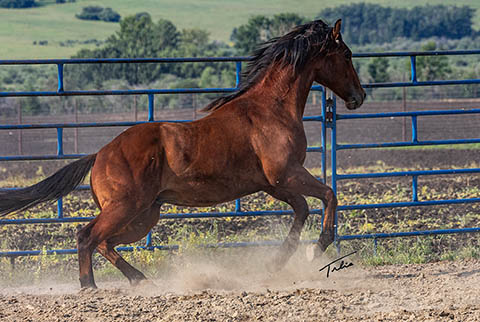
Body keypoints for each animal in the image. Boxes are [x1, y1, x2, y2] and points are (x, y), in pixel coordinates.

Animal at [0, 18, 366, 288]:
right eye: (347, 54)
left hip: (144, 216)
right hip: (125, 208)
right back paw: (90, 286)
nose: (359, 96)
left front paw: (279, 261)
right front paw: (317, 249)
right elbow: (329, 194)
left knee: (105, 243)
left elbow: (302, 209)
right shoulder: (286, 175)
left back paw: (139, 280)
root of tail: (100, 154)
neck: (270, 109)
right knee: (87, 236)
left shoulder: (273, 184)